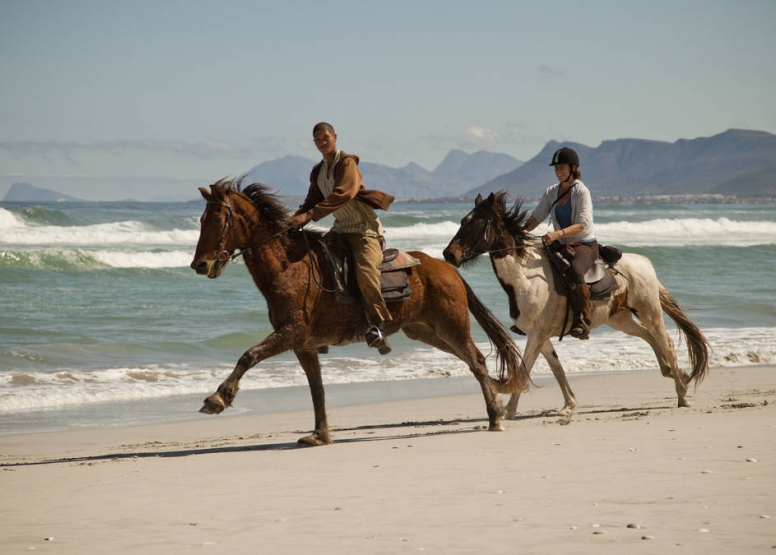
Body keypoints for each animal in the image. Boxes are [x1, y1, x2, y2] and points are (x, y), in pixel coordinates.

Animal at [190, 179, 524, 448]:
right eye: (202, 219)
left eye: (217, 218)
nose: (199, 265)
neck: (288, 267)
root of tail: (445, 266)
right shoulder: (303, 345)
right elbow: (317, 389)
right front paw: (320, 434)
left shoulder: (290, 333)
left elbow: (248, 355)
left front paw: (218, 398)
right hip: (427, 331)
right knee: (472, 362)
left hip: (451, 326)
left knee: (476, 360)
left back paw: (495, 416)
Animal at [442, 191, 708, 416]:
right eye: (463, 220)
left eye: (477, 223)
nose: (449, 254)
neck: (525, 277)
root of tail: (644, 263)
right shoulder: (541, 335)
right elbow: (556, 368)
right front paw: (569, 404)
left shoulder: (536, 334)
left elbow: (525, 369)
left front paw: (508, 410)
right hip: (620, 319)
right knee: (650, 338)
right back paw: (675, 374)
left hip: (648, 311)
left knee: (666, 343)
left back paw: (682, 394)